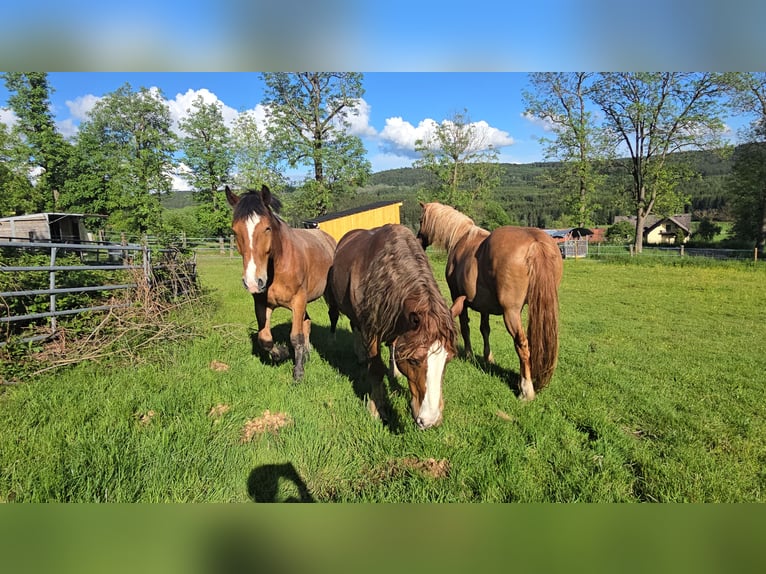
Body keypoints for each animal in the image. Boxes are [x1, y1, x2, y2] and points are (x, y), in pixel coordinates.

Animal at [328, 223, 460, 430]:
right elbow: (375, 368)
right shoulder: (371, 330)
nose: (430, 420)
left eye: (449, 359)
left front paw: (395, 373)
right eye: (414, 360)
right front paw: (376, 408)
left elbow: (394, 347)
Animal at [416, 205, 568, 402]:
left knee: (522, 344)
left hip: (511, 313)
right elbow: (485, 329)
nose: (418, 241)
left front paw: (468, 354)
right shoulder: (484, 306)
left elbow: (465, 327)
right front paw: (488, 358)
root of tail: (535, 243)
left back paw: (526, 389)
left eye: (421, 220)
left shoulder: (459, 298)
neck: (462, 238)